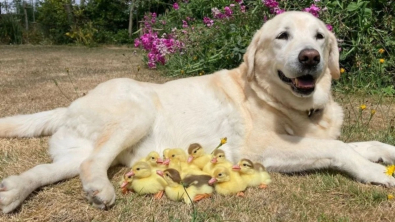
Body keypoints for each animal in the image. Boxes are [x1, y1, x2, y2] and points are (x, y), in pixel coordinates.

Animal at [0, 11, 395, 212]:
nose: (310, 58)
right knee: (91, 164)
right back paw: (100, 189)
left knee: (50, 169)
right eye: (282, 36)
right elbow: (339, 148)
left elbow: (370, 144)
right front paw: (377, 174)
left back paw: (12, 192)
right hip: (136, 112)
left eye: (319, 37)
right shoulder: (263, 148)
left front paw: (385, 154)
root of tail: (70, 105)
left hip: (72, 153)